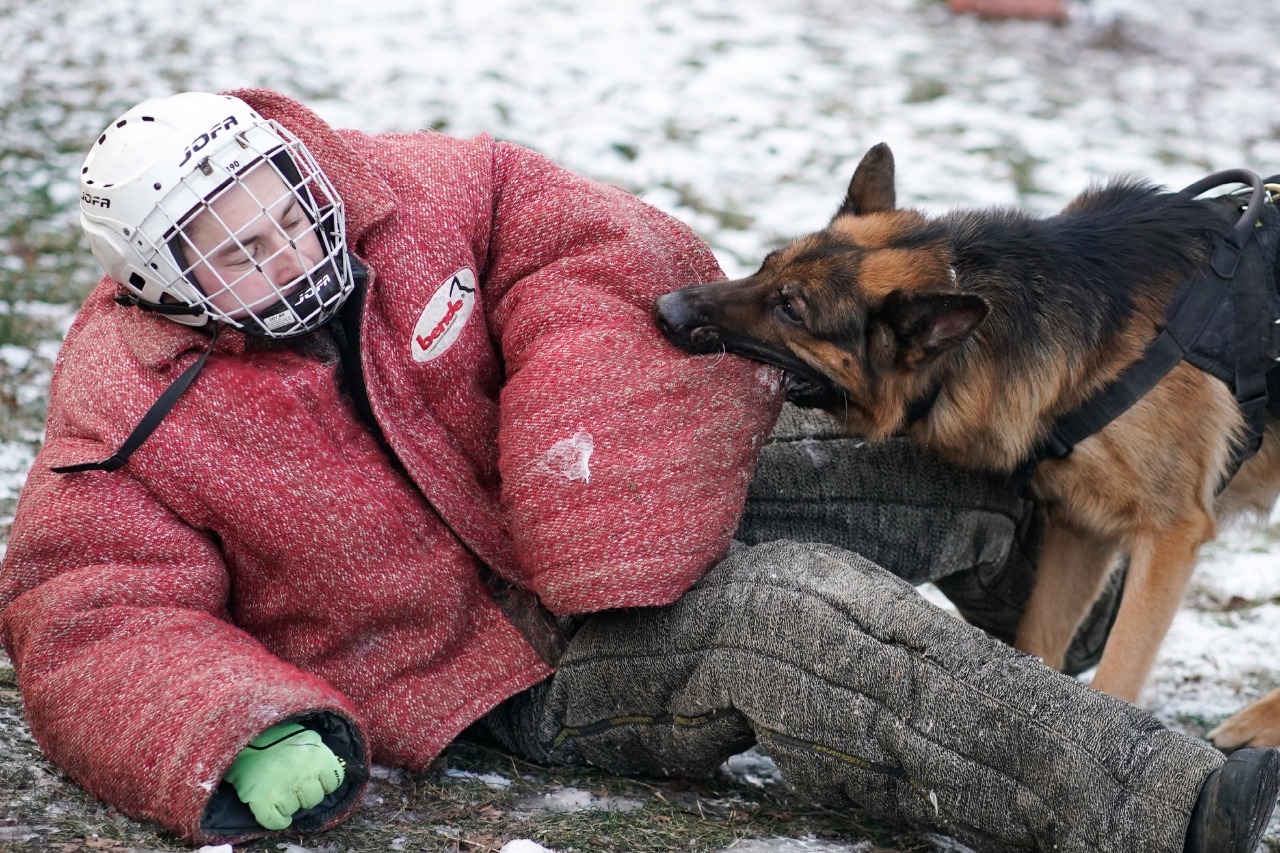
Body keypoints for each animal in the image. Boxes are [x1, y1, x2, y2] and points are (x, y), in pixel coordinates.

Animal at [655, 144, 1280, 742]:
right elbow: (1038, 642)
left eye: (790, 308)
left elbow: (1119, 674)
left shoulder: (1171, 535)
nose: (665, 309)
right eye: (764, 267)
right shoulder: (1083, 528)